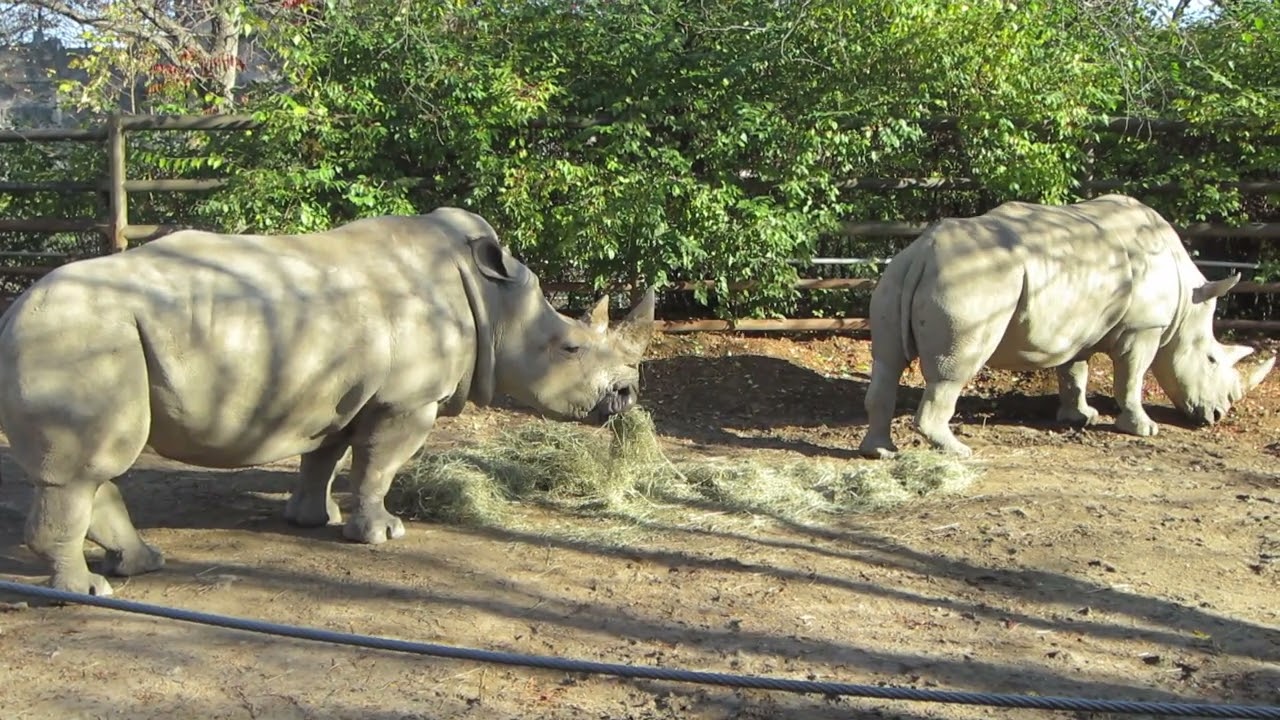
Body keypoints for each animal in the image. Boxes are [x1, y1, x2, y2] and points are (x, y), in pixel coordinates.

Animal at [0, 207, 658, 596]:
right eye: (570, 347)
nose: (627, 395)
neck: (493, 303)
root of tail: (12, 314)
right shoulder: (406, 400)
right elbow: (377, 466)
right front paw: (383, 534)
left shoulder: (344, 393)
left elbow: (326, 457)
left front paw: (312, 521)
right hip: (80, 337)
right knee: (83, 470)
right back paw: (87, 592)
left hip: (85, 337)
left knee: (92, 472)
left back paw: (142, 565)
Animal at [857, 194, 1274, 459]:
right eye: (1211, 361)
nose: (1217, 416)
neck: (1188, 300)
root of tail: (924, 252)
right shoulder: (1144, 328)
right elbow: (1131, 378)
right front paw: (1143, 428)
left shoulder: (1077, 326)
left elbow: (1074, 372)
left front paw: (1081, 418)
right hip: (971, 284)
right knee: (951, 372)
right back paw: (958, 451)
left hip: (897, 276)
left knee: (886, 361)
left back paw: (881, 452)